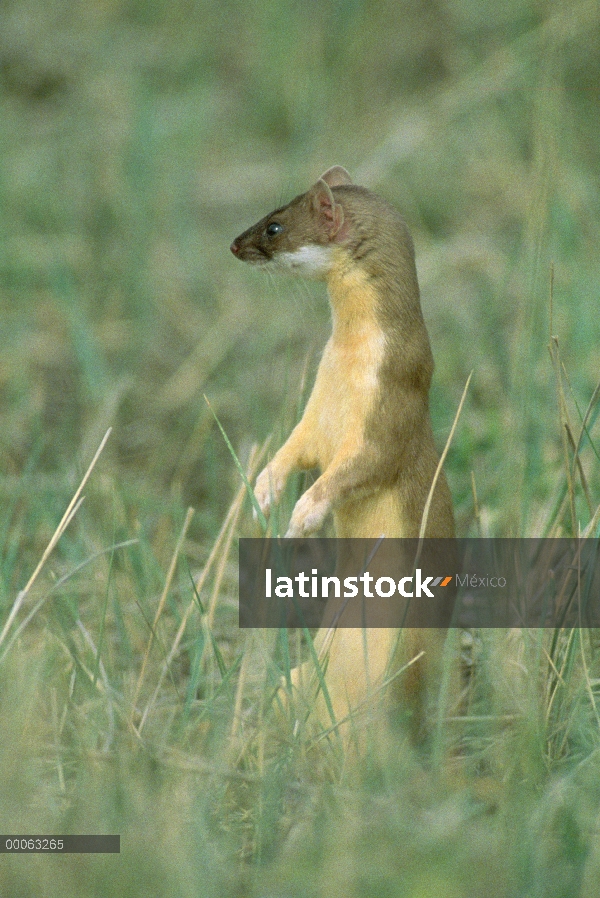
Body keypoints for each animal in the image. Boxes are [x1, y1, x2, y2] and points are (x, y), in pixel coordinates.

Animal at [232, 166, 458, 736]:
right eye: (269, 212)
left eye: (274, 226)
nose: (234, 244)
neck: (347, 366)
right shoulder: (316, 416)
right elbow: (294, 450)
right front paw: (264, 491)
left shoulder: (386, 416)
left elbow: (357, 468)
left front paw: (303, 513)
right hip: (296, 678)